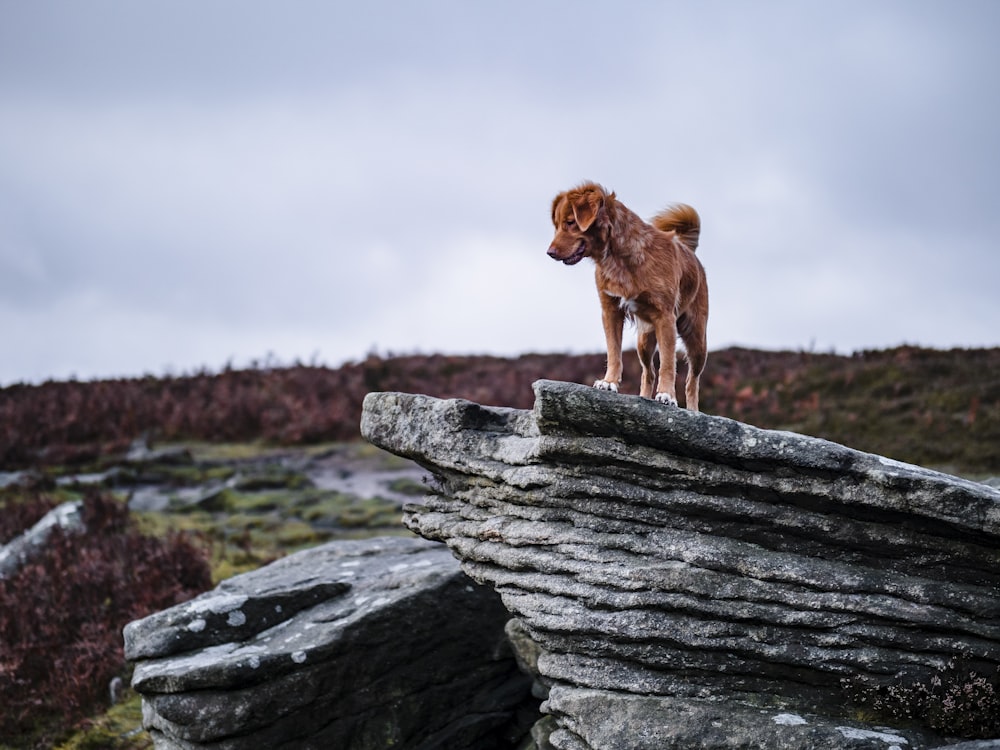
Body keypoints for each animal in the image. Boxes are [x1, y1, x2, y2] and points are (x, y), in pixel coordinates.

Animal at [552, 184, 708, 412]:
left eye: (570, 222)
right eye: (556, 225)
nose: (550, 252)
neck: (619, 256)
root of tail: (689, 250)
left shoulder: (665, 317)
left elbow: (668, 362)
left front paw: (667, 395)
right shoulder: (610, 311)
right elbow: (614, 352)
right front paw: (609, 382)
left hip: (697, 340)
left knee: (692, 381)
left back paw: (693, 410)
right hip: (644, 340)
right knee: (648, 373)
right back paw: (643, 398)